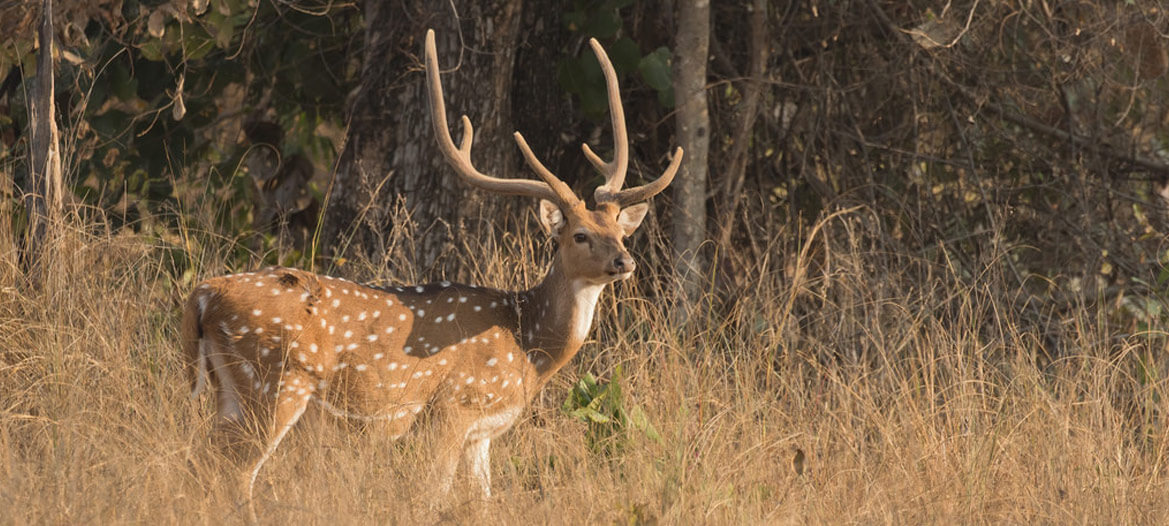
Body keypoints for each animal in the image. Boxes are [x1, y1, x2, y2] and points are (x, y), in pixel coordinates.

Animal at [177, 29, 682, 516]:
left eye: (620, 231)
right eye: (578, 235)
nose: (624, 262)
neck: (527, 347)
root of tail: (203, 294)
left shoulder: (481, 433)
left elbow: (483, 501)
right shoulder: (452, 407)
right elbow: (433, 493)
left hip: (231, 388)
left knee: (203, 465)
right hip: (276, 380)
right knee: (236, 473)